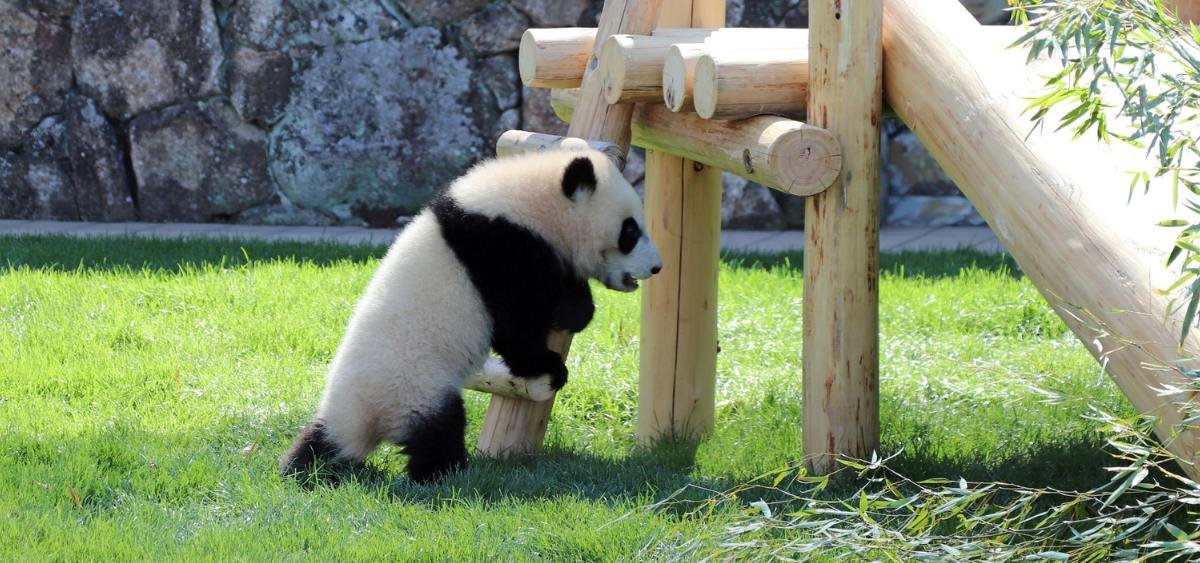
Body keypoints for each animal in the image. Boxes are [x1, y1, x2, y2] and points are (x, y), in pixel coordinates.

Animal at [281, 149, 663, 483]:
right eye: (630, 231)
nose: (656, 267)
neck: (532, 203)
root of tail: (369, 420)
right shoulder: (502, 246)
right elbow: (516, 324)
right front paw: (553, 360)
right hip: (415, 385)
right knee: (439, 429)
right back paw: (443, 474)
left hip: (349, 408)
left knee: (323, 440)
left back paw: (302, 468)